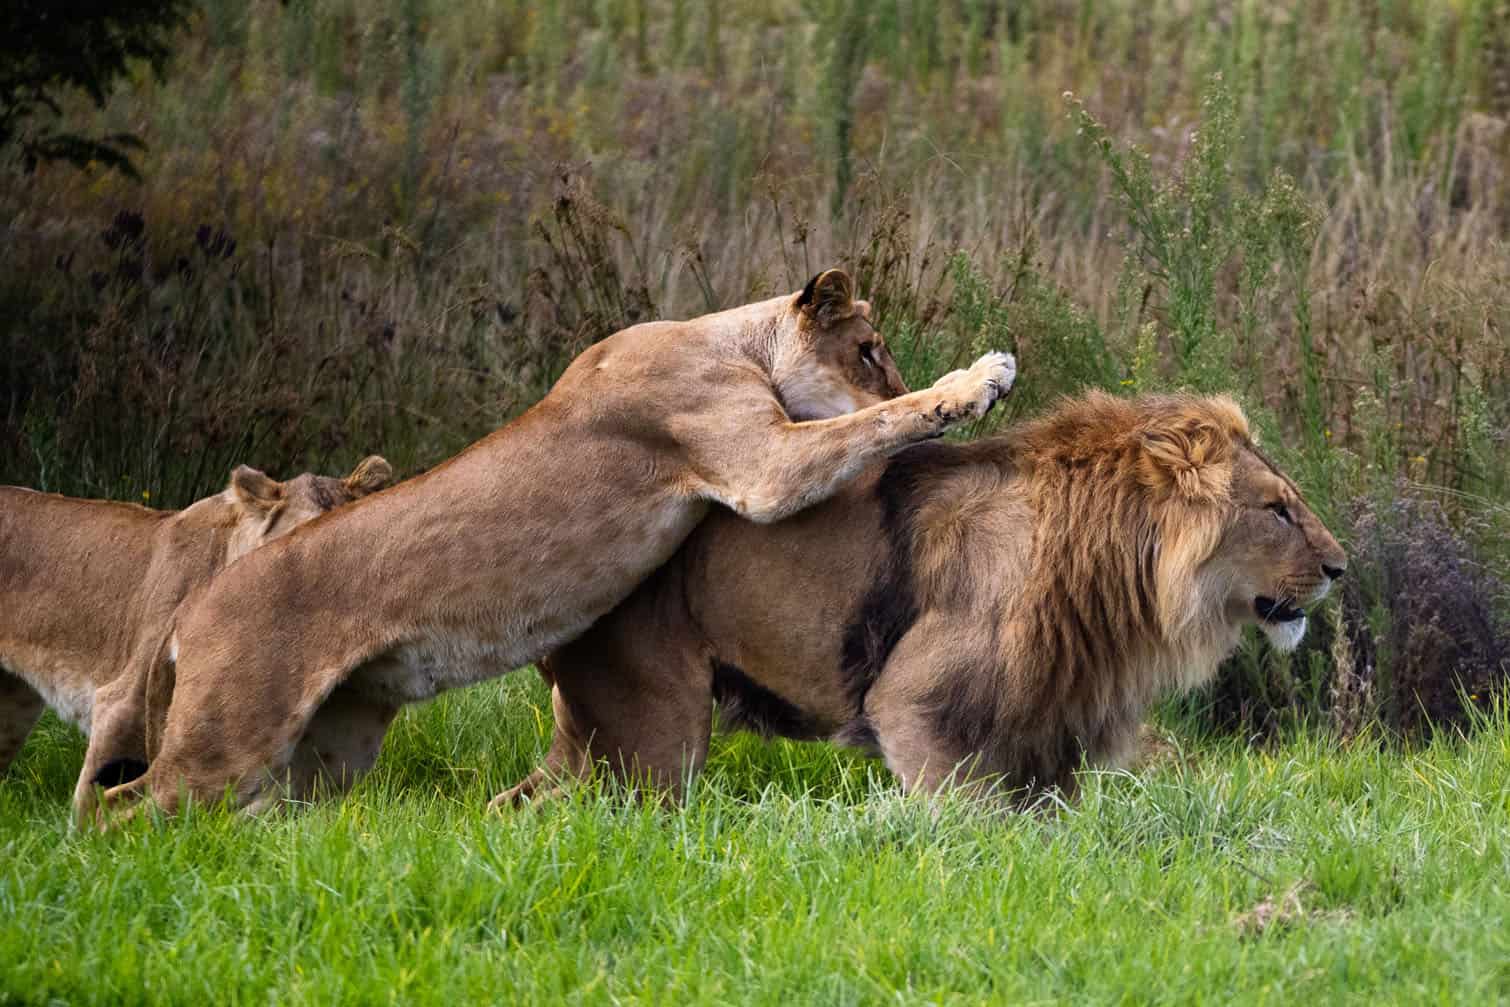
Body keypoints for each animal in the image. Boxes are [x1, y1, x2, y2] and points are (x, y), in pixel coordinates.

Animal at [110, 269, 1016, 815]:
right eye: (868, 351)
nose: (899, 369)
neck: (726, 339)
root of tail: (191, 609)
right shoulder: (762, 468)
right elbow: (876, 423)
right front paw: (977, 380)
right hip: (230, 735)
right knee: (125, 808)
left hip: (328, 747)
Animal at [505, 392, 1347, 806]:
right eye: (1277, 510)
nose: (1341, 568)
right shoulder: (912, 705)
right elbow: (967, 822)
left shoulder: (1048, 739)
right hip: (653, 741)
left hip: (595, 740)